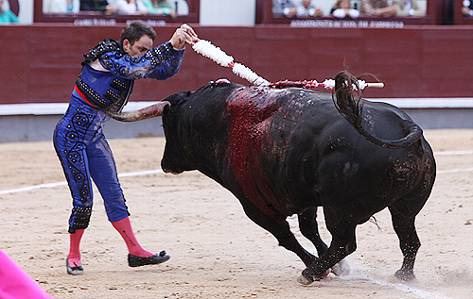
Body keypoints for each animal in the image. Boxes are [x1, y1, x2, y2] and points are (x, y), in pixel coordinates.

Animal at [112, 74, 434, 284]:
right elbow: (308, 230)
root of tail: (406, 126)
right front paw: (338, 269)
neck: (220, 121)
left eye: (167, 125)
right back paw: (403, 276)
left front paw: (318, 266)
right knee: (408, 239)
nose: (165, 164)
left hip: (339, 209)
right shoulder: (302, 194)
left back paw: (311, 274)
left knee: (345, 242)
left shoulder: (254, 205)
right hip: (405, 206)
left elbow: (287, 237)